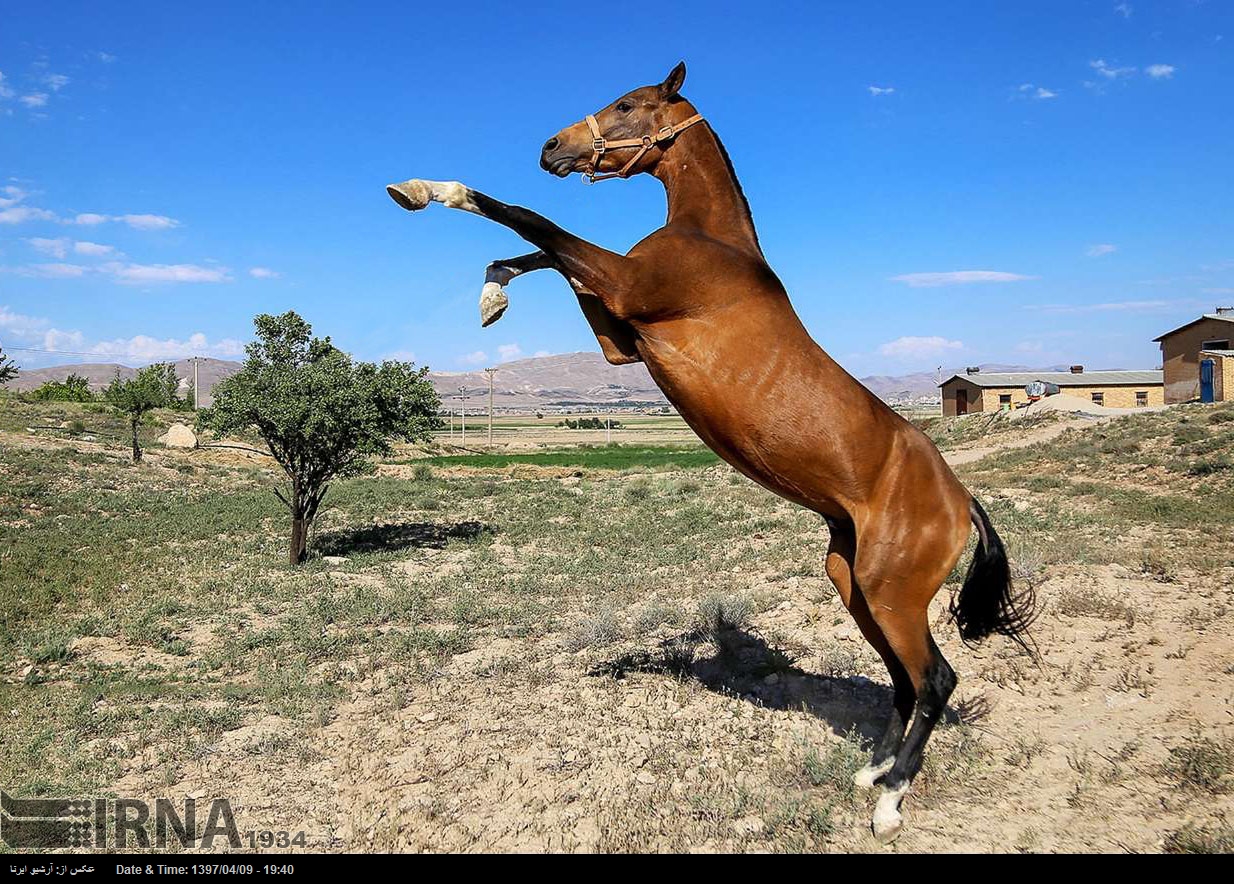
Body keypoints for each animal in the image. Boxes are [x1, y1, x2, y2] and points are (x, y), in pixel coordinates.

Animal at [385, 62, 1031, 844]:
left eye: (627, 104)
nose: (551, 148)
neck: (715, 244)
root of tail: (962, 500)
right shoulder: (618, 336)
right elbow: (538, 250)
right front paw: (491, 299)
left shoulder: (627, 290)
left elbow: (532, 222)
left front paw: (425, 190)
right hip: (852, 580)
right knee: (905, 678)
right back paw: (871, 772)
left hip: (893, 590)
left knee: (936, 678)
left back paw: (889, 803)